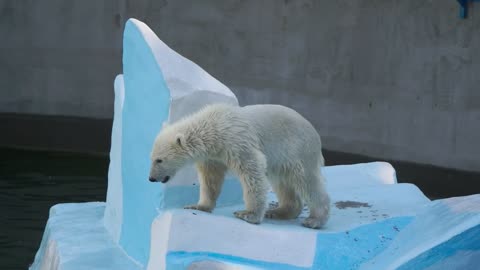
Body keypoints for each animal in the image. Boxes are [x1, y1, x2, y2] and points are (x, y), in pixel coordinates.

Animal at [149, 103, 330, 228]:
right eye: (150, 158)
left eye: (159, 160)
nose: (151, 178)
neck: (214, 128)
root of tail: (315, 132)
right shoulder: (213, 157)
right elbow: (210, 180)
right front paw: (198, 206)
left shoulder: (237, 142)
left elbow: (252, 171)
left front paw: (248, 214)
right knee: (282, 183)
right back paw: (278, 212)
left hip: (298, 149)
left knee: (307, 181)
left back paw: (314, 220)